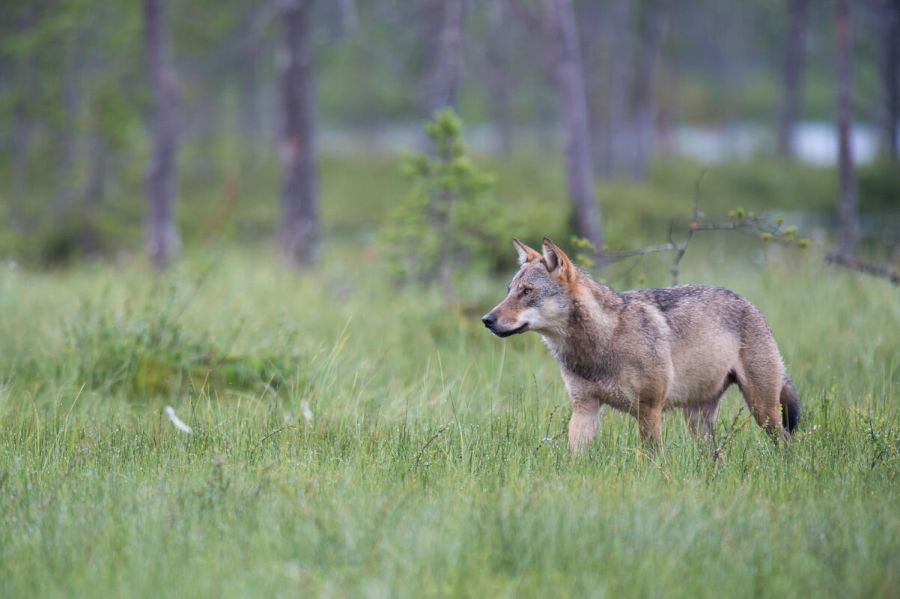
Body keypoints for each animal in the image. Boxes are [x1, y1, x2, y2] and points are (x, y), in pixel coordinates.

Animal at [482, 237, 800, 452]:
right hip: (698, 422)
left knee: (786, 444)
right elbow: (573, 456)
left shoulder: (649, 409)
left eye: (527, 292)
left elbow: (651, 458)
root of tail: (750, 304)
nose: (487, 319)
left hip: (763, 411)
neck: (602, 342)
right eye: (509, 291)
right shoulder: (584, 408)